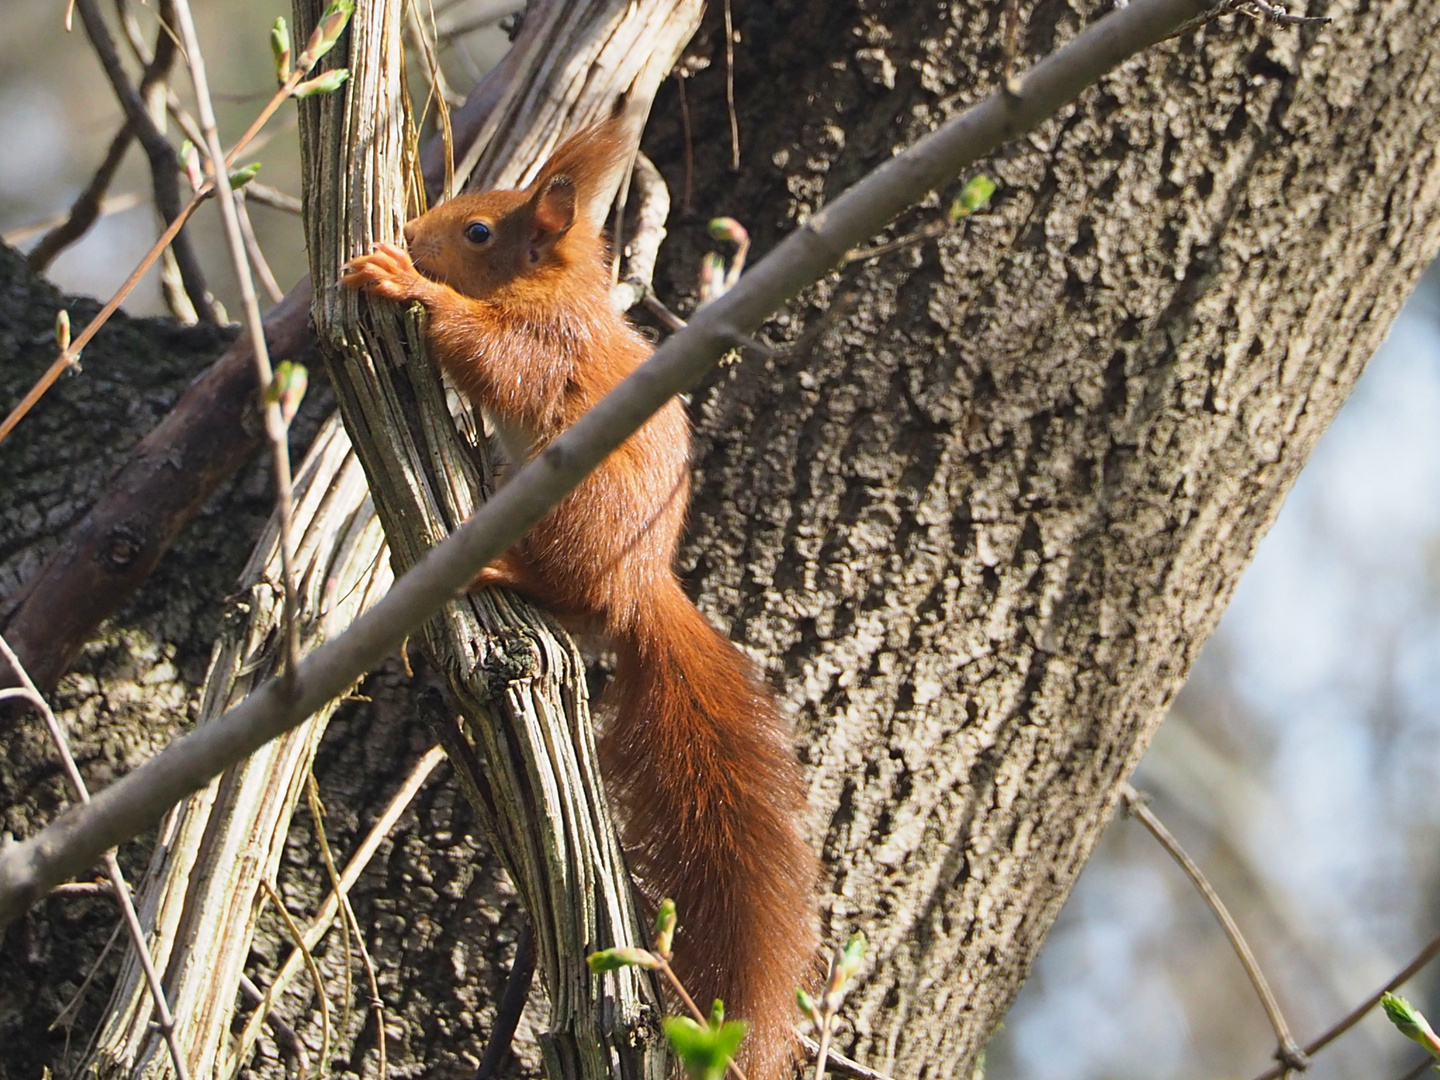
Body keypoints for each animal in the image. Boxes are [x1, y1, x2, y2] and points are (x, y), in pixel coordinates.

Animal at [334, 122, 812, 1077]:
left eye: (479, 231)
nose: (412, 232)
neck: (552, 286)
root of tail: (637, 590)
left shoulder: (547, 342)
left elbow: (498, 359)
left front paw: (409, 285)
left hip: (575, 511)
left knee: (559, 584)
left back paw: (501, 570)